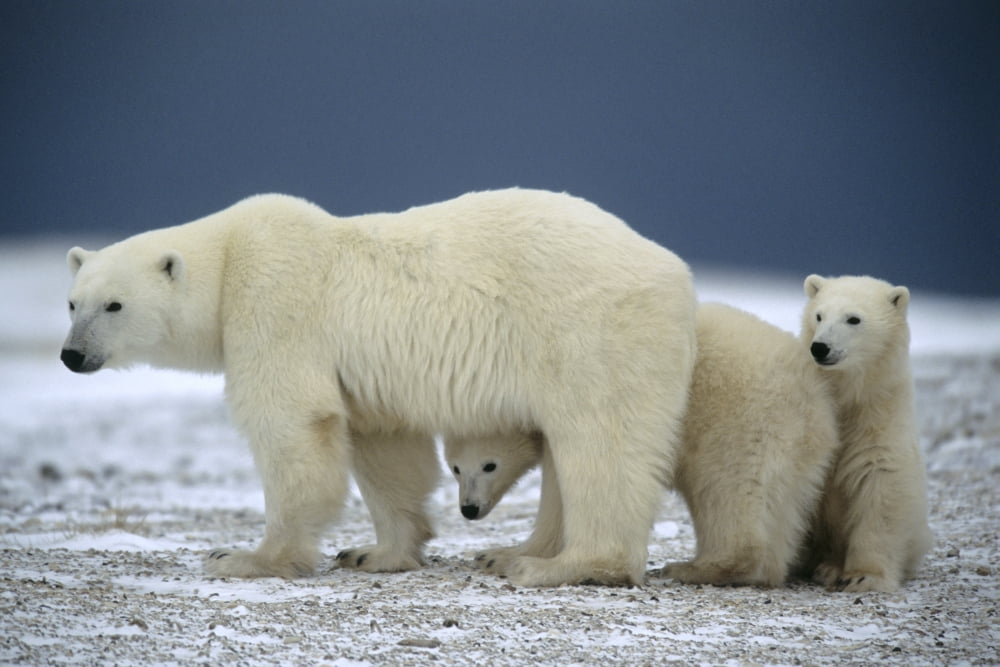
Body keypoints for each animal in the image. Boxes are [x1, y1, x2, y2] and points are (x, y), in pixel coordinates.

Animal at [61, 188, 697, 587]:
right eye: (72, 302)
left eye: (114, 305)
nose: (72, 355)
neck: (227, 260)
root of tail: (677, 273)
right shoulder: (362, 376)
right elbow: (385, 447)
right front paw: (374, 551)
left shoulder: (275, 304)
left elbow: (292, 423)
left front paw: (245, 557)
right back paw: (509, 552)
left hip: (591, 333)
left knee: (600, 442)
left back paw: (557, 565)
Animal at [447, 302, 842, 588]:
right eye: (454, 469)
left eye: (489, 465)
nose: (469, 509)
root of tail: (817, 404)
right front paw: (494, 555)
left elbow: (566, 489)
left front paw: (515, 560)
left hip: (741, 420)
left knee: (725, 491)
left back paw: (694, 567)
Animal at [801, 274, 932, 593]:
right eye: (818, 315)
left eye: (853, 319)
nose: (820, 347)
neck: (850, 399)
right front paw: (833, 568)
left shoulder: (881, 423)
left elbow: (881, 488)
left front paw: (863, 576)